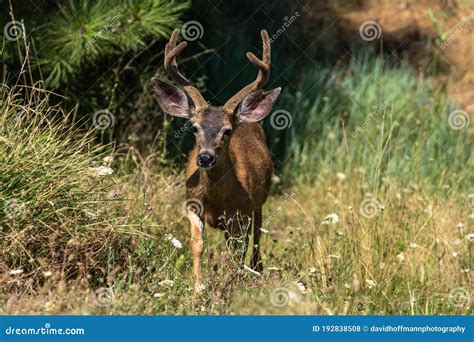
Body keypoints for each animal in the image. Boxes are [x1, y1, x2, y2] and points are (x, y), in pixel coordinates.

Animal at [151, 28, 278, 294]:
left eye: (227, 131)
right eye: (194, 127)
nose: (206, 157)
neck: (217, 200)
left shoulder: (240, 213)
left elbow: (237, 250)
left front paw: (230, 285)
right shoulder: (191, 203)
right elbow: (197, 243)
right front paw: (198, 287)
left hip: (259, 203)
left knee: (255, 238)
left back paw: (255, 271)